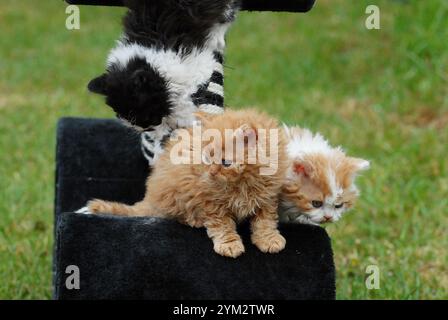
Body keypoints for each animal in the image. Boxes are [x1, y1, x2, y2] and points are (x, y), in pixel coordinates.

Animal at [87, 109, 288, 258]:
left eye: (225, 163)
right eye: (206, 158)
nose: (211, 173)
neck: (243, 183)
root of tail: (150, 198)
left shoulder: (268, 197)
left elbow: (265, 222)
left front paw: (269, 239)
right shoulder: (210, 200)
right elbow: (222, 225)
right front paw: (229, 245)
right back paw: (196, 220)